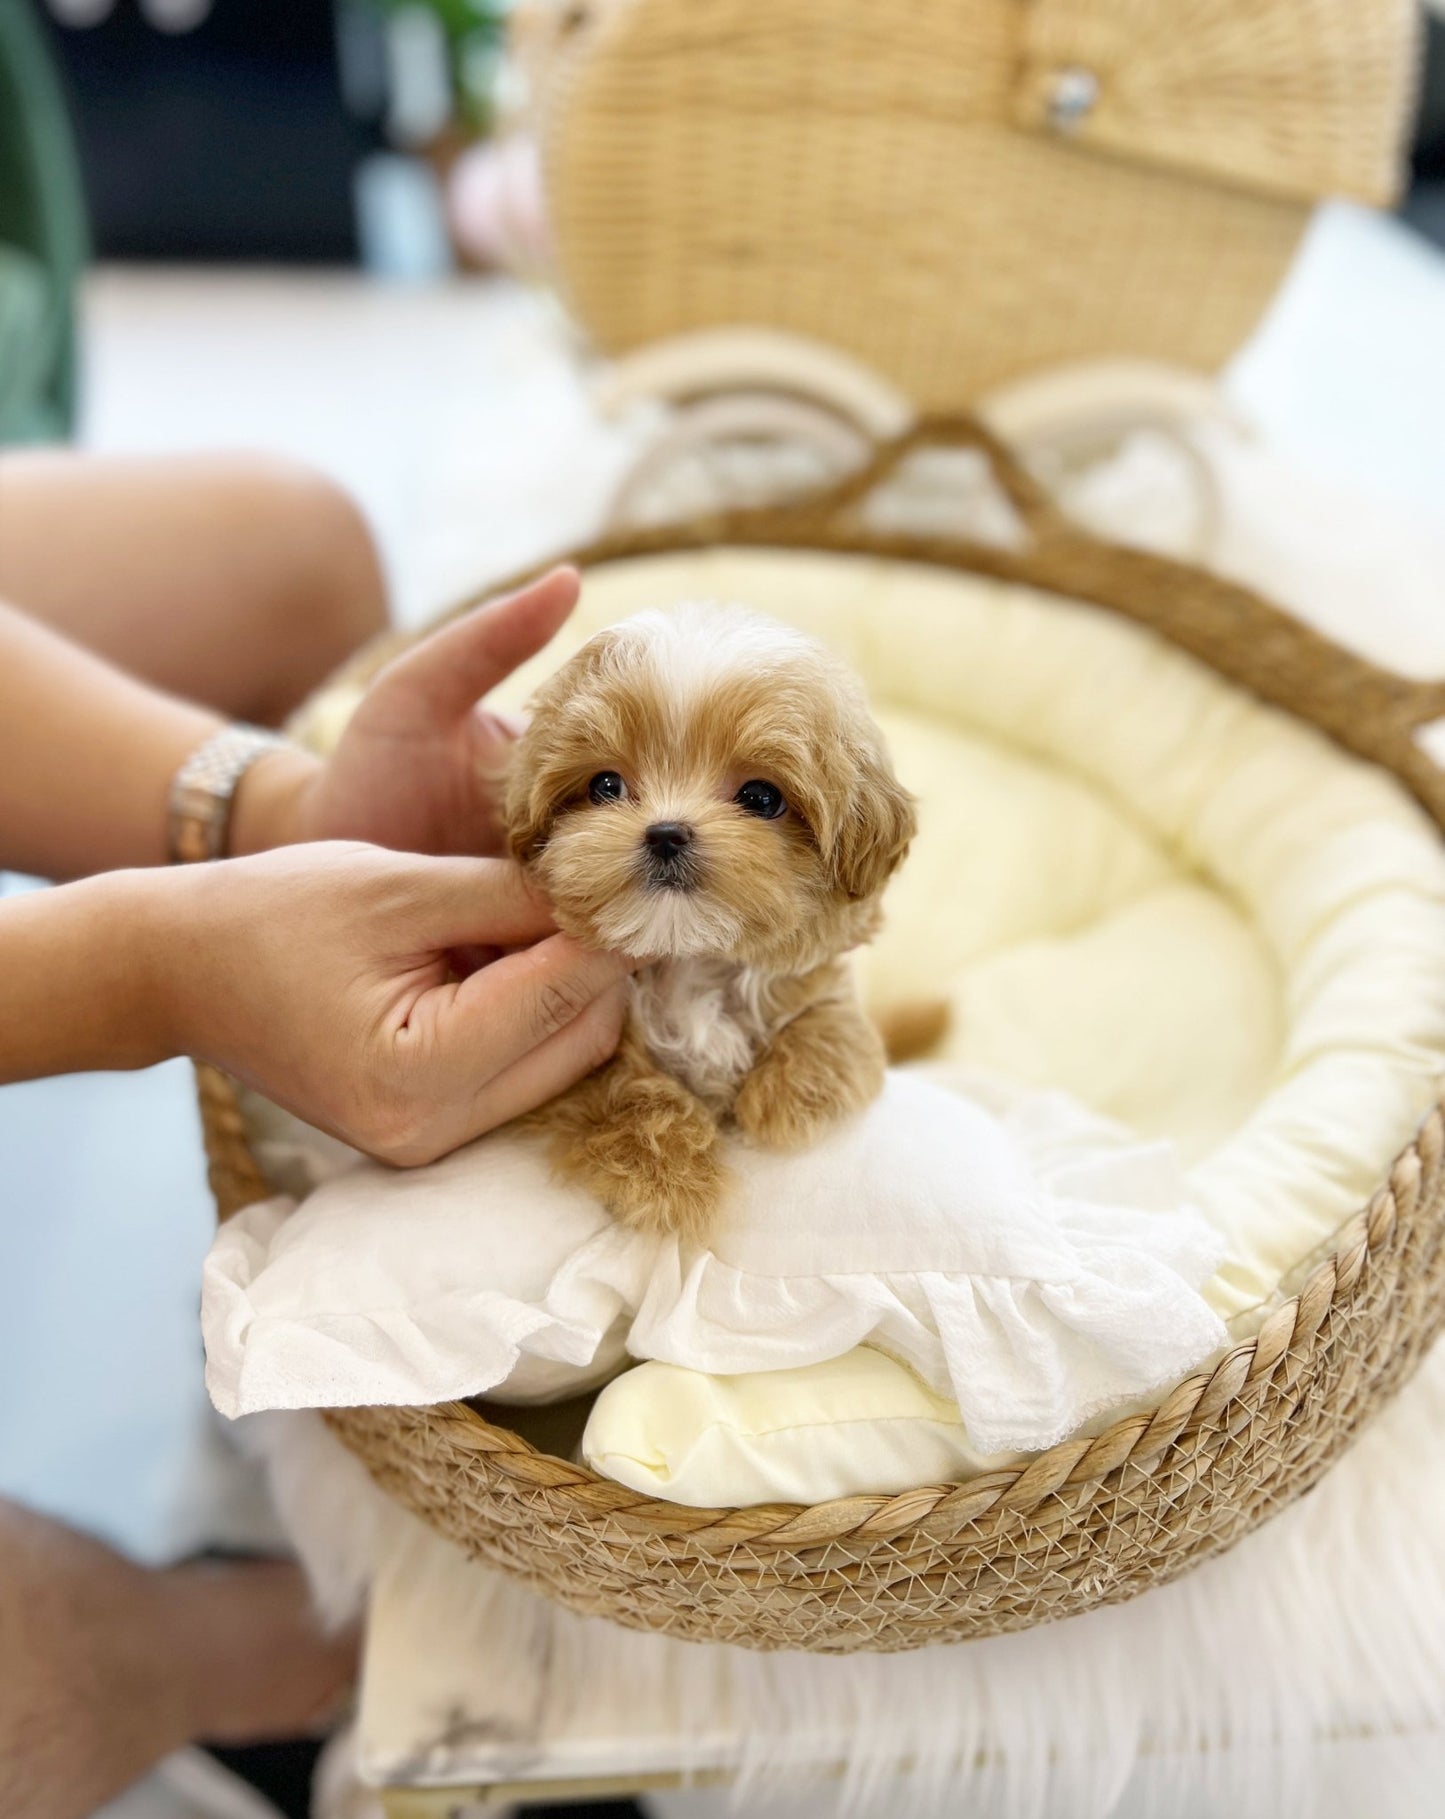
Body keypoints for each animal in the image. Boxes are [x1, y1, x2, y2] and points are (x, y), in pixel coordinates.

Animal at [505, 603, 913, 1244]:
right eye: (605, 785)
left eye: (762, 798)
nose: (666, 832)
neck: (690, 955)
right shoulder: (572, 1066)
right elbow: (625, 1088)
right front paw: (672, 1178)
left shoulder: (825, 986)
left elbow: (835, 1024)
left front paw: (786, 1098)